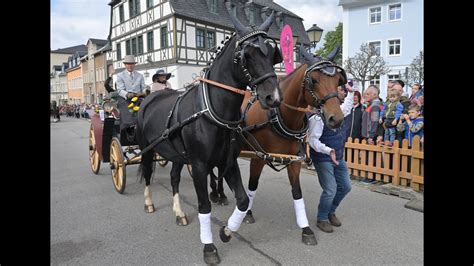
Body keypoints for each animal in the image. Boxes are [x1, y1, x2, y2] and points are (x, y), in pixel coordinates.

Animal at [134, 7, 282, 264]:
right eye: (247, 55)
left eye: (273, 52)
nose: (272, 97)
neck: (214, 111)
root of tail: (149, 98)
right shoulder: (200, 166)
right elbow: (204, 206)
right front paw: (209, 246)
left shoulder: (227, 162)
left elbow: (243, 200)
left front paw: (227, 231)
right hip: (148, 148)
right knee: (148, 172)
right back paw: (149, 202)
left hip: (177, 155)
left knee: (173, 177)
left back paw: (179, 212)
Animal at [209, 45, 346, 245]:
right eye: (313, 80)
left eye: (337, 81)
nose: (336, 119)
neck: (279, 116)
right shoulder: (258, 158)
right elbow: (252, 186)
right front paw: (247, 213)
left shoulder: (294, 160)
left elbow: (297, 192)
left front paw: (306, 229)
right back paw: (215, 193)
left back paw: (220, 194)